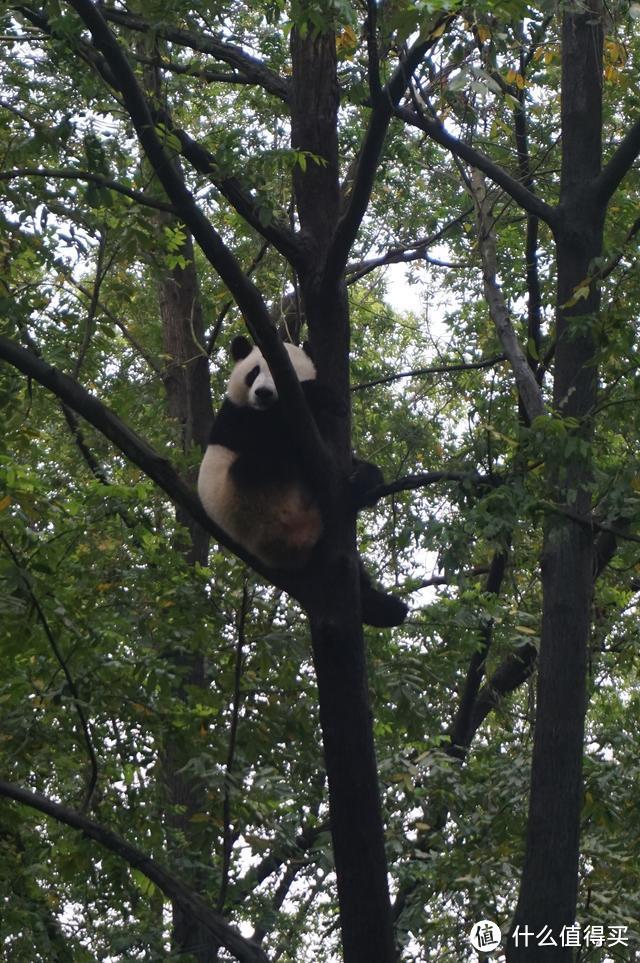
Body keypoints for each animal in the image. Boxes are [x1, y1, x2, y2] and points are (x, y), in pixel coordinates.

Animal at [198, 336, 410, 628]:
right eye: (254, 372)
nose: (263, 393)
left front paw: (366, 478)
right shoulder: (237, 419)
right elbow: (274, 430)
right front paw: (320, 395)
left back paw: (386, 608)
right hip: (246, 500)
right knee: (267, 462)